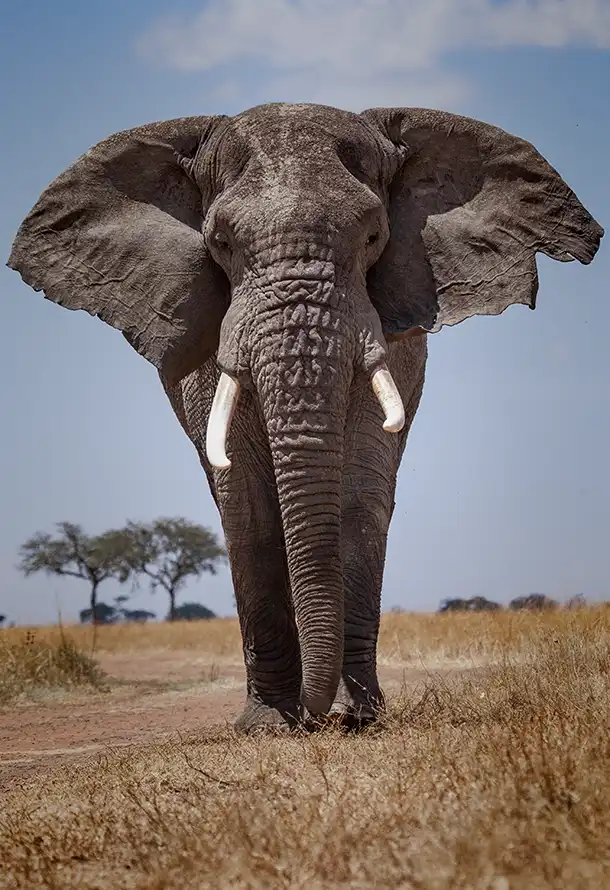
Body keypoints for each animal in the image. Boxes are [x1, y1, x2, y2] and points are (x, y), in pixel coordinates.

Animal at [8, 102, 603, 733]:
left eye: (373, 236)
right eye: (220, 241)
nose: (316, 718)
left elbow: (361, 494)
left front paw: (357, 717)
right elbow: (246, 504)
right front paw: (268, 726)